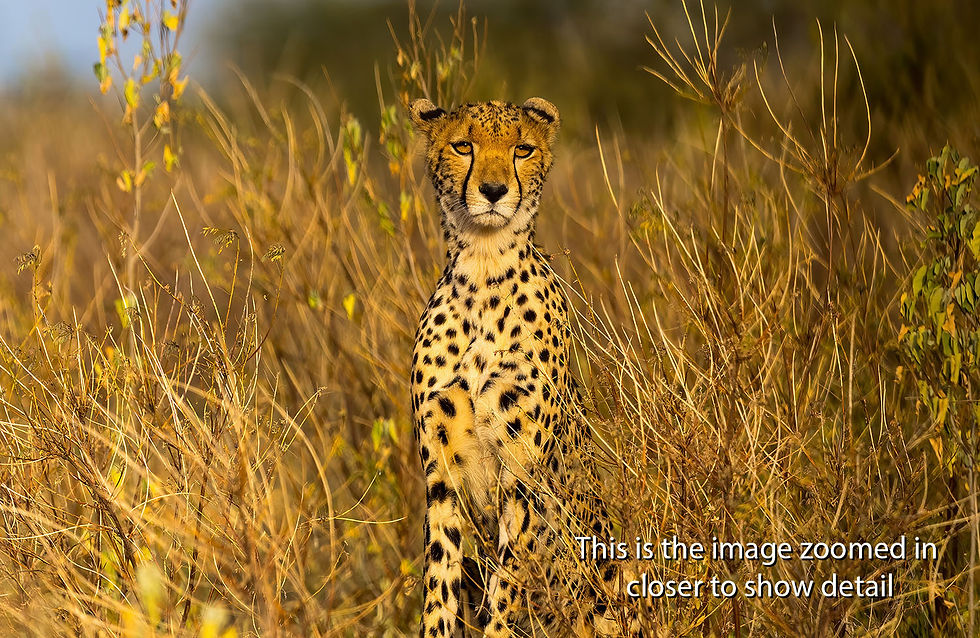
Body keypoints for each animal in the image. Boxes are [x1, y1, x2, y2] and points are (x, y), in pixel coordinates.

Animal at [409, 97, 639, 638]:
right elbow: (440, 579)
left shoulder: (522, 474)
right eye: (463, 146)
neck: (483, 267)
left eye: (522, 149)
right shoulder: (439, 475)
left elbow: (510, 578)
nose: (493, 191)